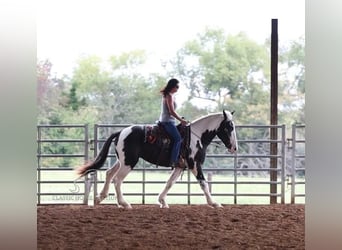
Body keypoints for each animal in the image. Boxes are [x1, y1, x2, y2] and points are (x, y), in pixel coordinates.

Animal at [77, 110, 238, 208]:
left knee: (109, 173)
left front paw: (162, 201)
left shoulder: (180, 166)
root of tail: (121, 131)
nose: (234, 148)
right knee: (117, 179)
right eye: (229, 127)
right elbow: (203, 183)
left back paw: (99, 198)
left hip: (122, 160)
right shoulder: (194, 164)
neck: (196, 136)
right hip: (129, 163)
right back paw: (124, 203)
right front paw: (214, 203)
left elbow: (170, 183)